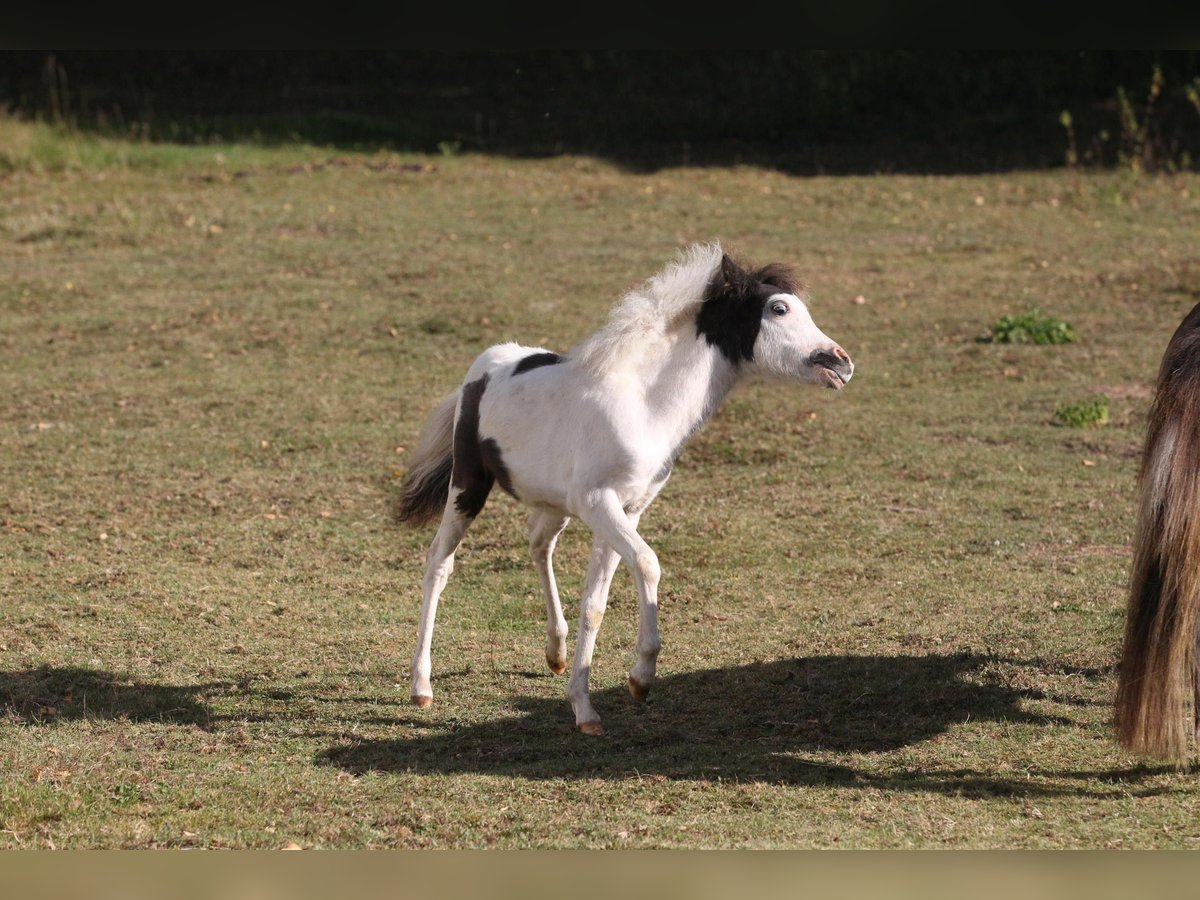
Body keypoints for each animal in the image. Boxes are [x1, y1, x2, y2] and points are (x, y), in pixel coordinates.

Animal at [400, 243, 854, 734]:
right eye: (779, 308)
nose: (841, 362)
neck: (644, 406)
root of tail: (486, 365)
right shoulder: (599, 503)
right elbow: (648, 564)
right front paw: (641, 678)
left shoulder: (628, 507)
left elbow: (595, 602)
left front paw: (585, 708)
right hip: (468, 486)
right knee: (439, 565)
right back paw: (421, 686)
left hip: (553, 504)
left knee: (539, 546)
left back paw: (555, 652)